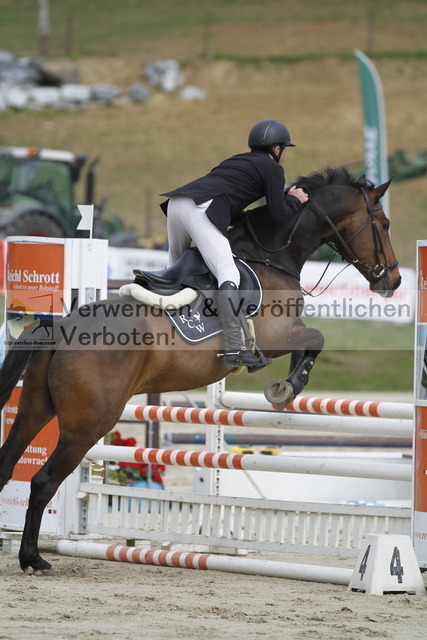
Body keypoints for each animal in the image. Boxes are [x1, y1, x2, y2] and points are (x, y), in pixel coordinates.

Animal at [0, 167, 401, 574]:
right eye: (383, 223)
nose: (394, 281)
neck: (269, 255)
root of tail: (61, 325)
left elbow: (310, 342)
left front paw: (285, 386)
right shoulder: (279, 334)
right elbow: (316, 339)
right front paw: (288, 386)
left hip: (34, 409)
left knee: (7, 463)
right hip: (87, 424)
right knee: (43, 481)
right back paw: (33, 558)